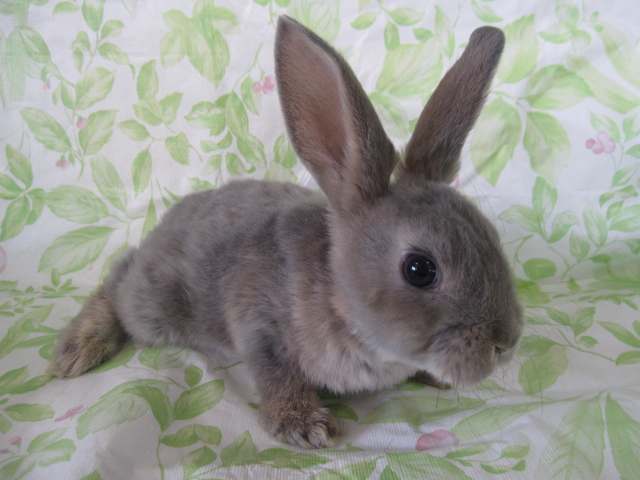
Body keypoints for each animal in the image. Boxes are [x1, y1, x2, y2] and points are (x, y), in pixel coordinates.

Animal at [48, 15, 523, 449]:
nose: (506, 344)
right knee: (116, 283)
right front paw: (304, 425)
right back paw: (75, 351)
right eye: (420, 269)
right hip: (155, 308)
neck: (339, 298)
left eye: (491, 237)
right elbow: (277, 377)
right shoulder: (260, 327)